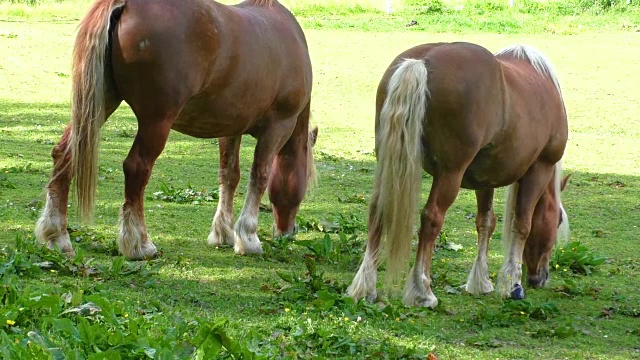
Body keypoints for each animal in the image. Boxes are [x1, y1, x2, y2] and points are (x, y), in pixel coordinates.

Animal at [34, 0, 316, 260]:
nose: (288, 232)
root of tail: (125, 5)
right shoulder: (278, 127)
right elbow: (259, 176)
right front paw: (248, 238)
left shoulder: (230, 127)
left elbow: (229, 176)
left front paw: (223, 232)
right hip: (156, 121)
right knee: (137, 168)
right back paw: (139, 244)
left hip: (99, 105)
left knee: (65, 155)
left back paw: (57, 236)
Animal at [350, 41, 568, 306]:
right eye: (558, 220)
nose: (540, 278)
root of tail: (421, 61)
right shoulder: (540, 167)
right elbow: (522, 224)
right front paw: (513, 285)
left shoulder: (486, 178)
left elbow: (486, 222)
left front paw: (480, 282)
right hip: (450, 174)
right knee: (431, 218)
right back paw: (422, 291)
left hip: (387, 165)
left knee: (377, 212)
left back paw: (365, 286)